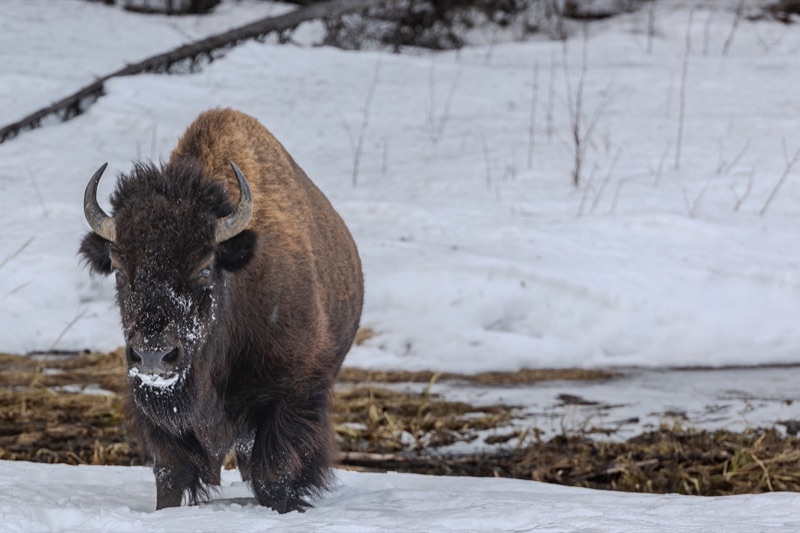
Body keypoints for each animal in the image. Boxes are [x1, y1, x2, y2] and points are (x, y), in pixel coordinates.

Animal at [79, 108, 364, 513]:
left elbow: (274, 471)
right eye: (119, 269)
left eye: (204, 267)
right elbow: (171, 472)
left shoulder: (292, 392)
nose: (153, 355)